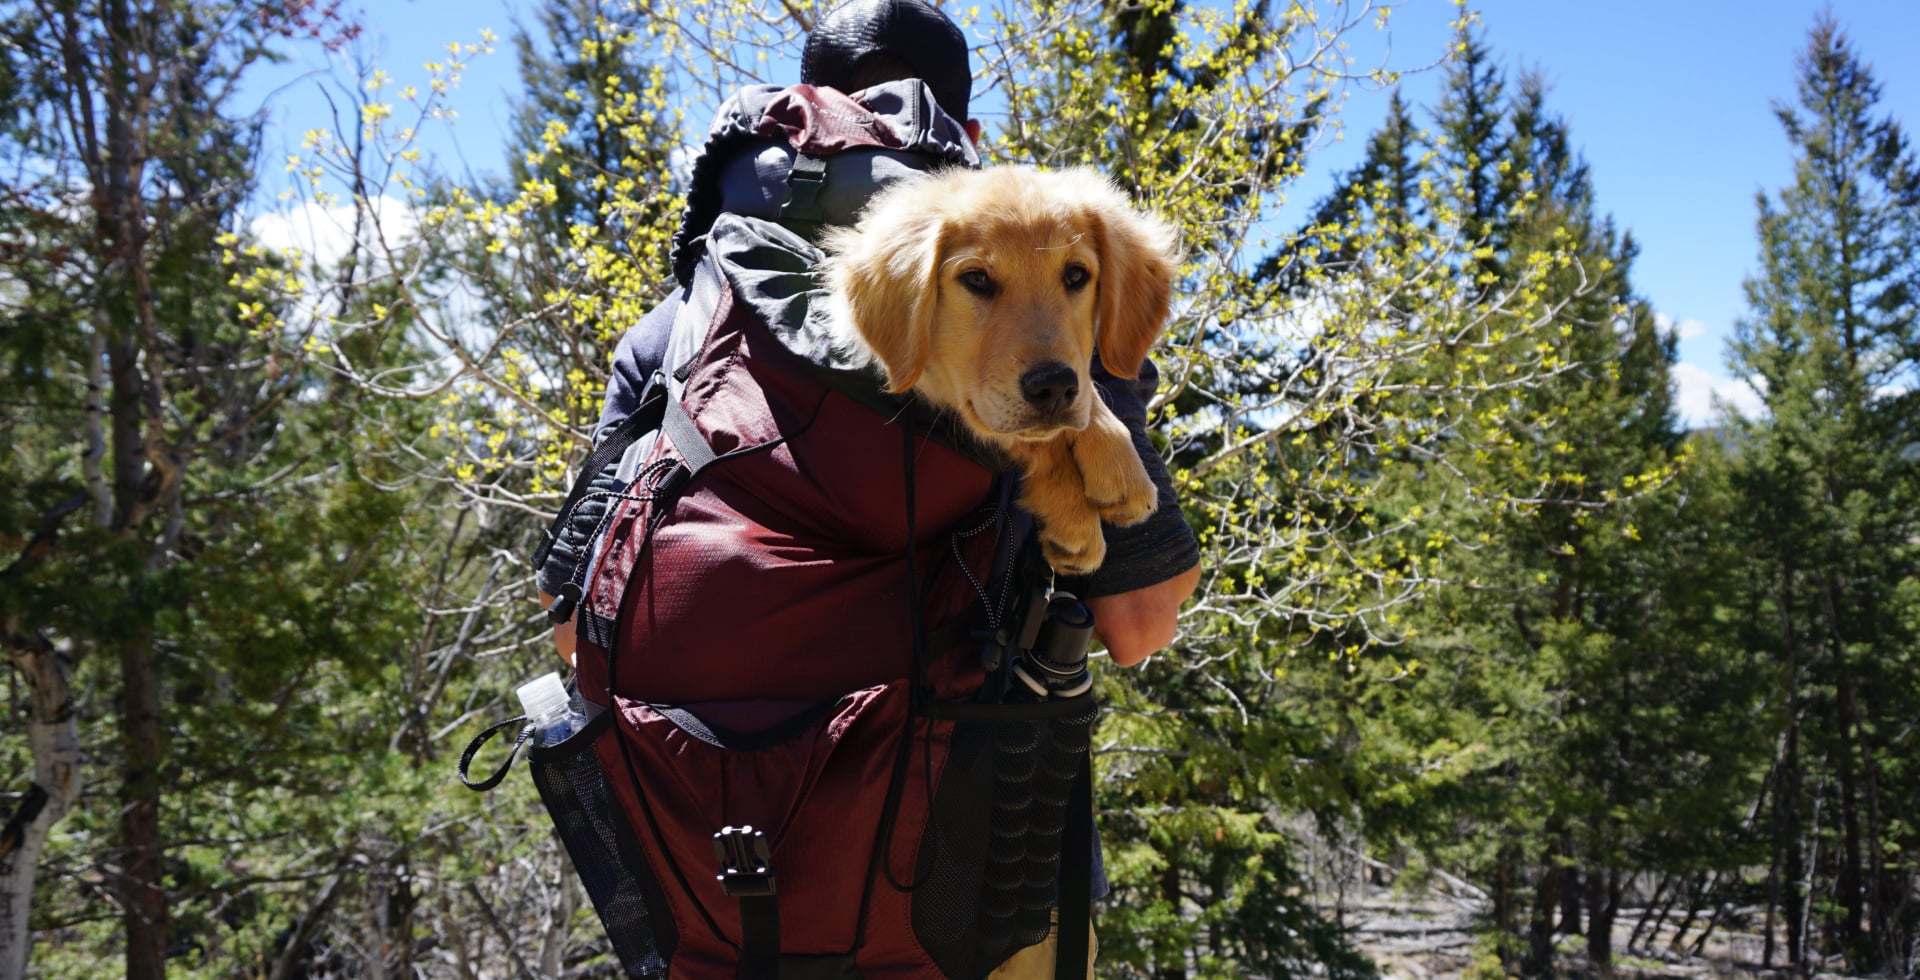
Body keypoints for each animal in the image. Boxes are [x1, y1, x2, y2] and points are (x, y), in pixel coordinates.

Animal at [829, 163, 1182, 568]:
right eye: (976, 278)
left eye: (1076, 275)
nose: (1054, 387)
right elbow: (1013, 432)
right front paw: (1075, 511)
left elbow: (1080, 396)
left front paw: (1116, 459)